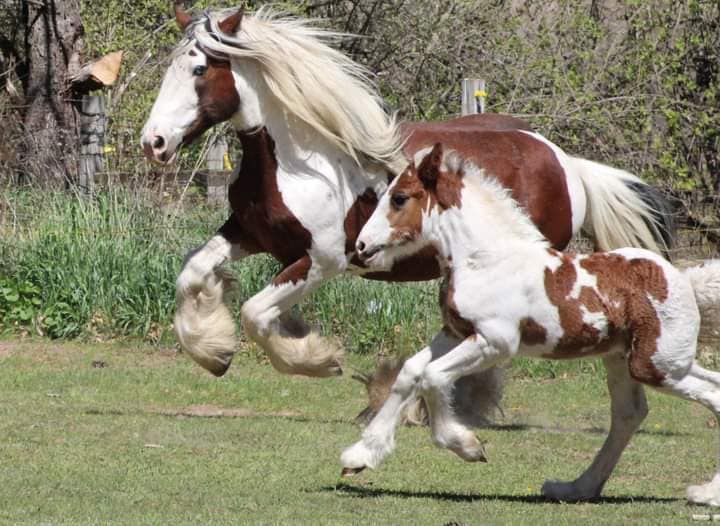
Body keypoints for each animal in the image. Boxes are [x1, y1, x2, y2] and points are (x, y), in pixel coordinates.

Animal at [141, 5, 676, 408]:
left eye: (199, 69)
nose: (154, 142)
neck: (300, 160)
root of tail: (566, 163)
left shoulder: (323, 259)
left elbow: (255, 312)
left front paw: (317, 357)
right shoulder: (248, 233)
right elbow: (192, 272)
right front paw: (213, 351)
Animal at [340, 144, 720, 508]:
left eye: (400, 198)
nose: (361, 245)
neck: (485, 260)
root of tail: (686, 280)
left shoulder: (495, 342)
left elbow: (432, 376)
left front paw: (467, 445)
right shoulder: (456, 332)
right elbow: (410, 372)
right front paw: (360, 455)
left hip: (656, 365)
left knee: (709, 396)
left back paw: (706, 494)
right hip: (633, 360)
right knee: (630, 414)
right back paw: (577, 488)